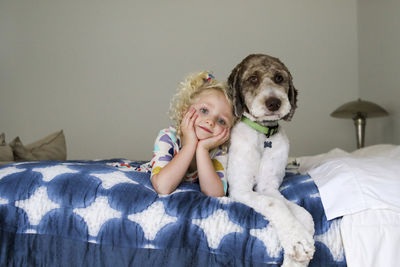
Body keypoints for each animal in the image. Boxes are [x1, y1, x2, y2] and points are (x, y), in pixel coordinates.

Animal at [227, 53, 314, 266]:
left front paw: (299, 252)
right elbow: (275, 205)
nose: (274, 103)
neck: (263, 135)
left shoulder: (268, 187)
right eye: (253, 79)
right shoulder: (240, 189)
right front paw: (298, 241)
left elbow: (302, 213)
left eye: (279, 78)